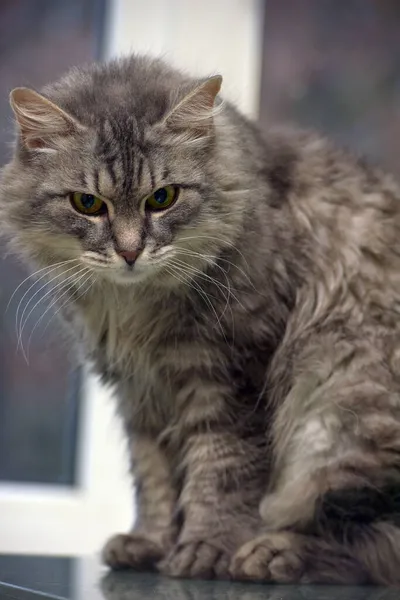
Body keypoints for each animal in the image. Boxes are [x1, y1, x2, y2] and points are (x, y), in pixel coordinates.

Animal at [0, 54, 400, 584]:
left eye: (162, 198)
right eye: (87, 204)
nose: (130, 251)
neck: (134, 307)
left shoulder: (232, 373)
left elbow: (223, 470)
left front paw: (206, 549)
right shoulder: (139, 393)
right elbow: (153, 478)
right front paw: (150, 542)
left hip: (337, 419)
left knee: (366, 546)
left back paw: (270, 554)